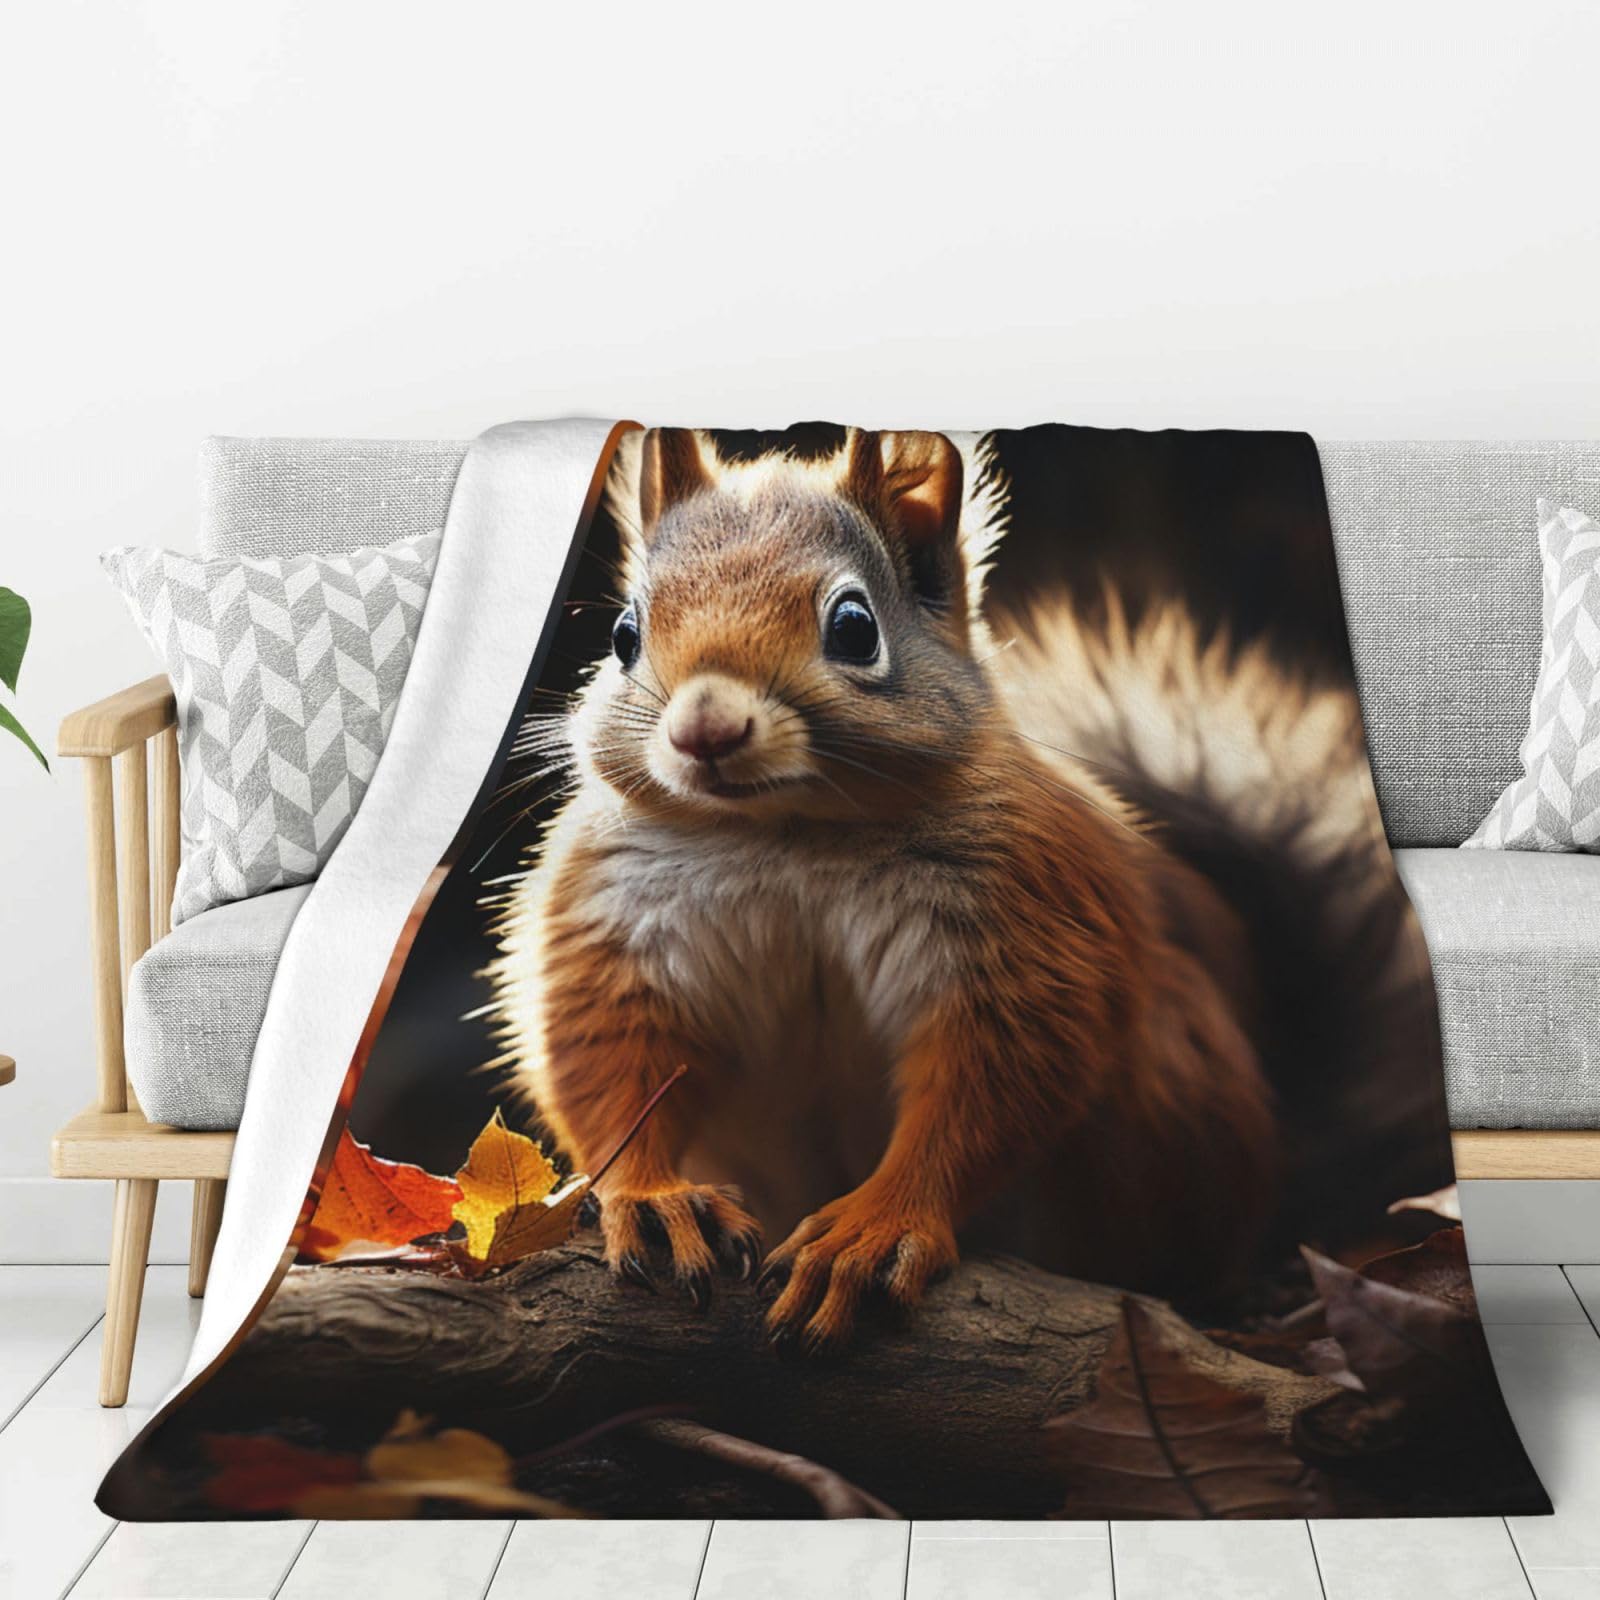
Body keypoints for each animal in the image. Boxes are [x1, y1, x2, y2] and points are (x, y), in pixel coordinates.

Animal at [486, 425, 1418, 1353]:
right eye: (623, 634)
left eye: (855, 628)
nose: (705, 730)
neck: (786, 836)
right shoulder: (618, 923)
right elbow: (613, 1068)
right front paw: (653, 1199)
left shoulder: (1021, 926)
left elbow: (986, 1088)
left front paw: (874, 1228)